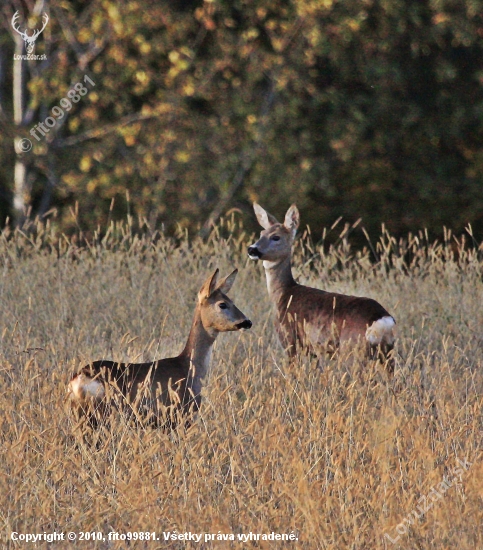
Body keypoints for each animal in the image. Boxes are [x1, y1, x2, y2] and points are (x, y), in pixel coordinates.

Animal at [68, 270, 253, 430]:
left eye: (232, 301)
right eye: (222, 304)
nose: (247, 322)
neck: (189, 368)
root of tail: (78, 379)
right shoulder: (180, 416)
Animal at [250, 205, 398, 374]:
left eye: (276, 237)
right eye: (261, 233)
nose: (252, 249)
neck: (283, 294)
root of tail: (382, 320)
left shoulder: (289, 337)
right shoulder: (312, 348)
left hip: (352, 349)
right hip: (387, 352)